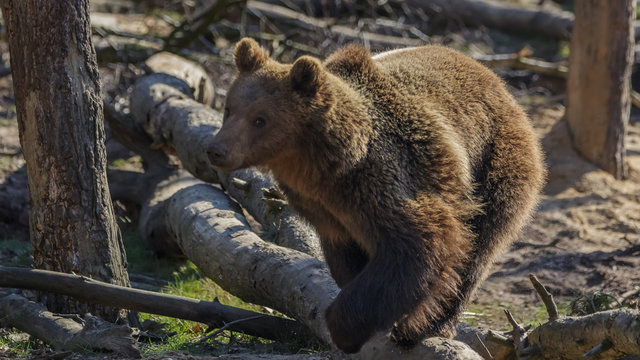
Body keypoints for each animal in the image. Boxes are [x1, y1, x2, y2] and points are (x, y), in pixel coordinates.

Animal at [209, 38, 544, 352]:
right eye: (229, 108)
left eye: (260, 119)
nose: (218, 150)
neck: (324, 167)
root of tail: (499, 84)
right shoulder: (326, 211)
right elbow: (348, 259)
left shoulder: (385, 179)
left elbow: (421, 243)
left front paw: (351, 328)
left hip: (494, 168)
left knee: (476, 251)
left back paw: (431, 326)